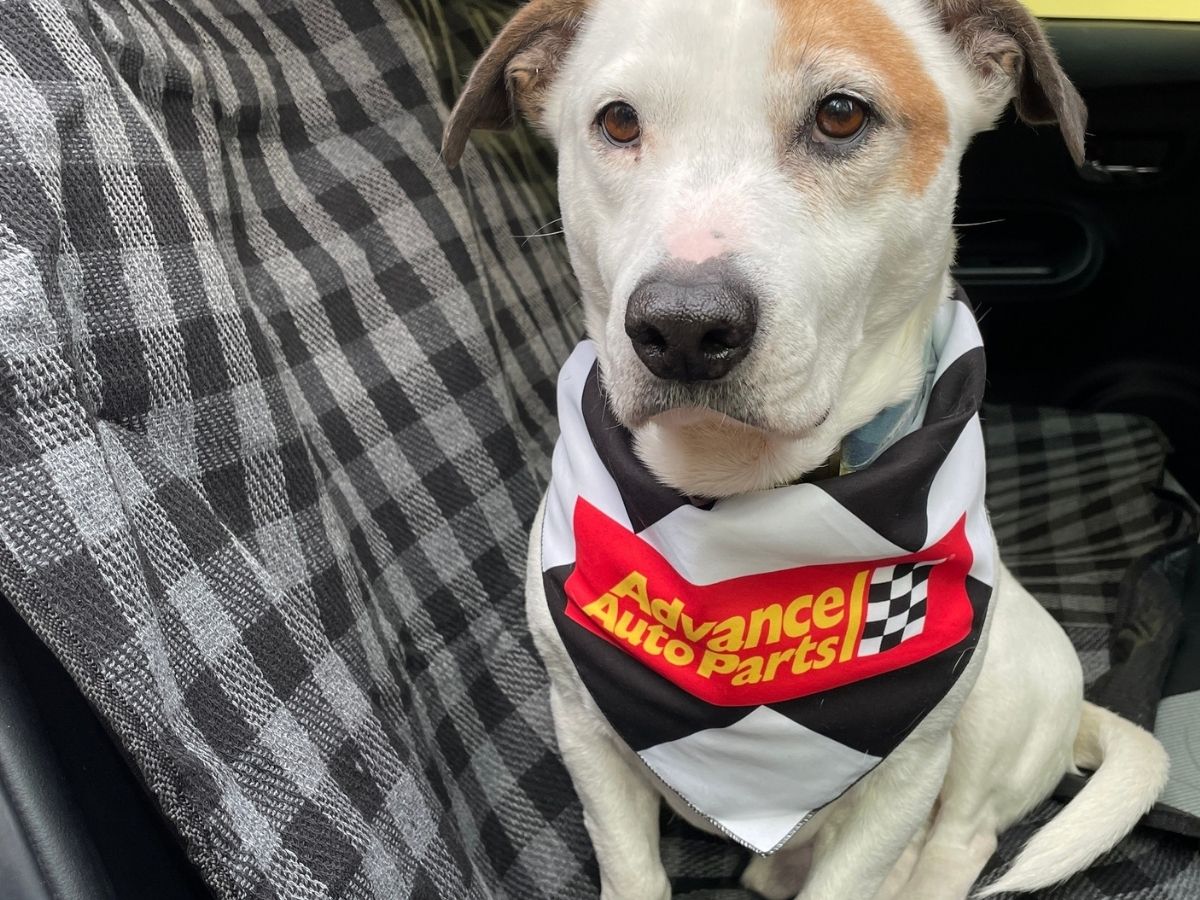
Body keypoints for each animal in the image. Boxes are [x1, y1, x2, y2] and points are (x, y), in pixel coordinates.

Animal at [446, 3, 1166, 897]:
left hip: (997, 698)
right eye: (617, 121)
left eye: (841, 115)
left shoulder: (907, 772)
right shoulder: (584, 731)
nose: (683, 328)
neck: (737, 495)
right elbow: (630, 867)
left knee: (960, 838)